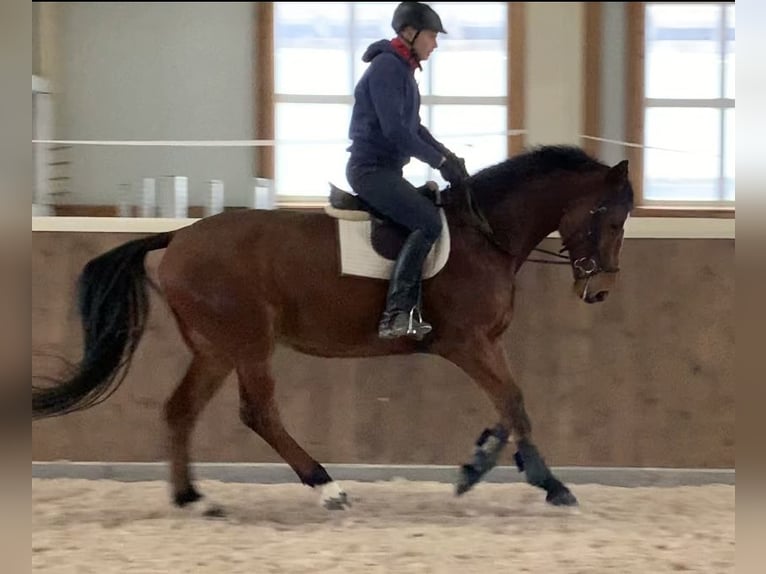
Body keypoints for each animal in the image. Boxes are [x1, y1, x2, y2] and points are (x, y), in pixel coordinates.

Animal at [32, 144, 634, 514]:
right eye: (609, 217)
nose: (600, 290)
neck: (485, 235)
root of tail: (179, 235)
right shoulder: (467, 342)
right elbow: (514, 400)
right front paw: (546, 482)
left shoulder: (483, 344)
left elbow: (510, 405)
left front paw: (479, 462)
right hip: (248, 342)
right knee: (259, 413)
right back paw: (326, 487)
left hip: (216, 347)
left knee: (181, 410)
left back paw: (193, 499)